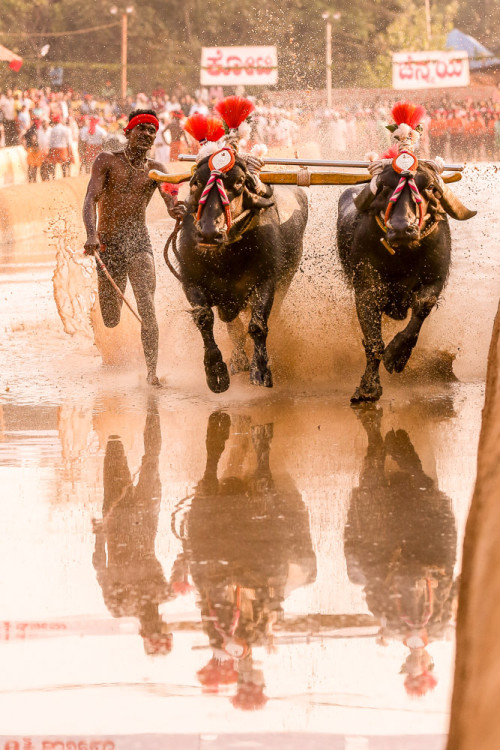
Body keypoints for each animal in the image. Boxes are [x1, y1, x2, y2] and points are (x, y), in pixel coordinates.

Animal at [176, 156, 308, 396]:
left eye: (238, 182)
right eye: (196, 182)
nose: (209, 233)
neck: (226, 260)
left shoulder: (266, 281)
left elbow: (258, 325)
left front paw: (261, 370)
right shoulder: (191, 280)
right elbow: (205, 319)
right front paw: (216, 370)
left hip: (286, 278)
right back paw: (238, 359)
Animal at [336, 162, 476, 402]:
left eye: (429, 187)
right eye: (384, 186)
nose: (402, 228)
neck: (403, 257)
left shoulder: (435, 279)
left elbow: (421, 310)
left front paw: (397, 356)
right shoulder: (366, 289)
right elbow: (373, 341)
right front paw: (368, 388)